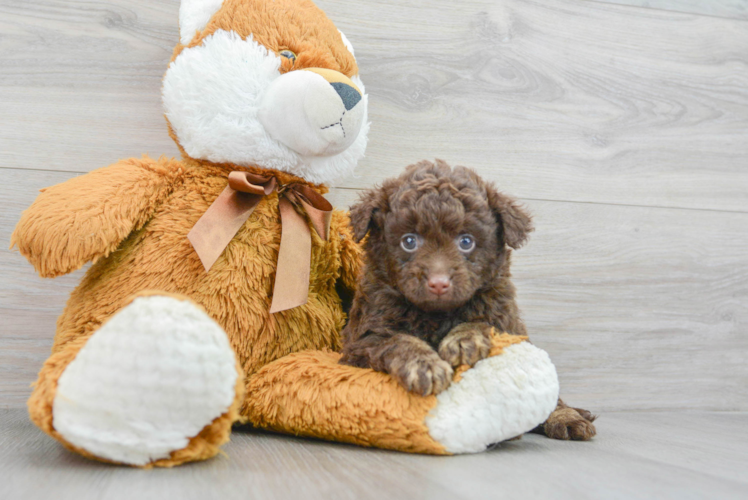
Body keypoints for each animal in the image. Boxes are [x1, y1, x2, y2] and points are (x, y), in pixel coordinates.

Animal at [340, 160, 596, 442]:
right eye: (409, 241)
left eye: (466, 242)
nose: (438, 283)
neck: (436, 314)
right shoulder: (363, 340)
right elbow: (398, 341)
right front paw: (425, 365)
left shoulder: (504, 318)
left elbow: (482, 322)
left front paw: (463, 340)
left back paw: (569, 417)